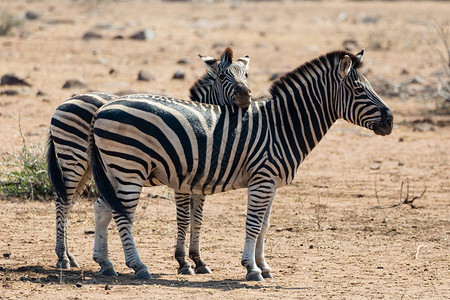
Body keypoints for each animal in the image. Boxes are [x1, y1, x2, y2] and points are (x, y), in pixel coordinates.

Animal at [47, 47, 251, 274]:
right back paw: (63, 258)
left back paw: (70, 257)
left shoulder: (201, 183)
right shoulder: (182, 181)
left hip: (88, 169)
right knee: (62, 202)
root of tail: (66, 102)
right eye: (222, 76)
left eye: (246, 75)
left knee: (69, 202)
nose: (245, 95)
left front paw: (199, 260)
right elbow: (183, 219)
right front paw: (183, 262)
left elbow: (197, 219)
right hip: (74, 160)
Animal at [89, 49, 394, 282]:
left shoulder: (271, 183)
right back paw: (138, 266)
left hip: (115, 170)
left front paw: (264, 266)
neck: (282, 126)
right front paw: (251, 268)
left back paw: (105, 263)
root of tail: (104, 108)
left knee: (103, 208)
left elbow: (264, 225)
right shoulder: (262, 179)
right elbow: (252, 223)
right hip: (130, 167)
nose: (390, 121)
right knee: (123, 216)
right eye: (359, 89)